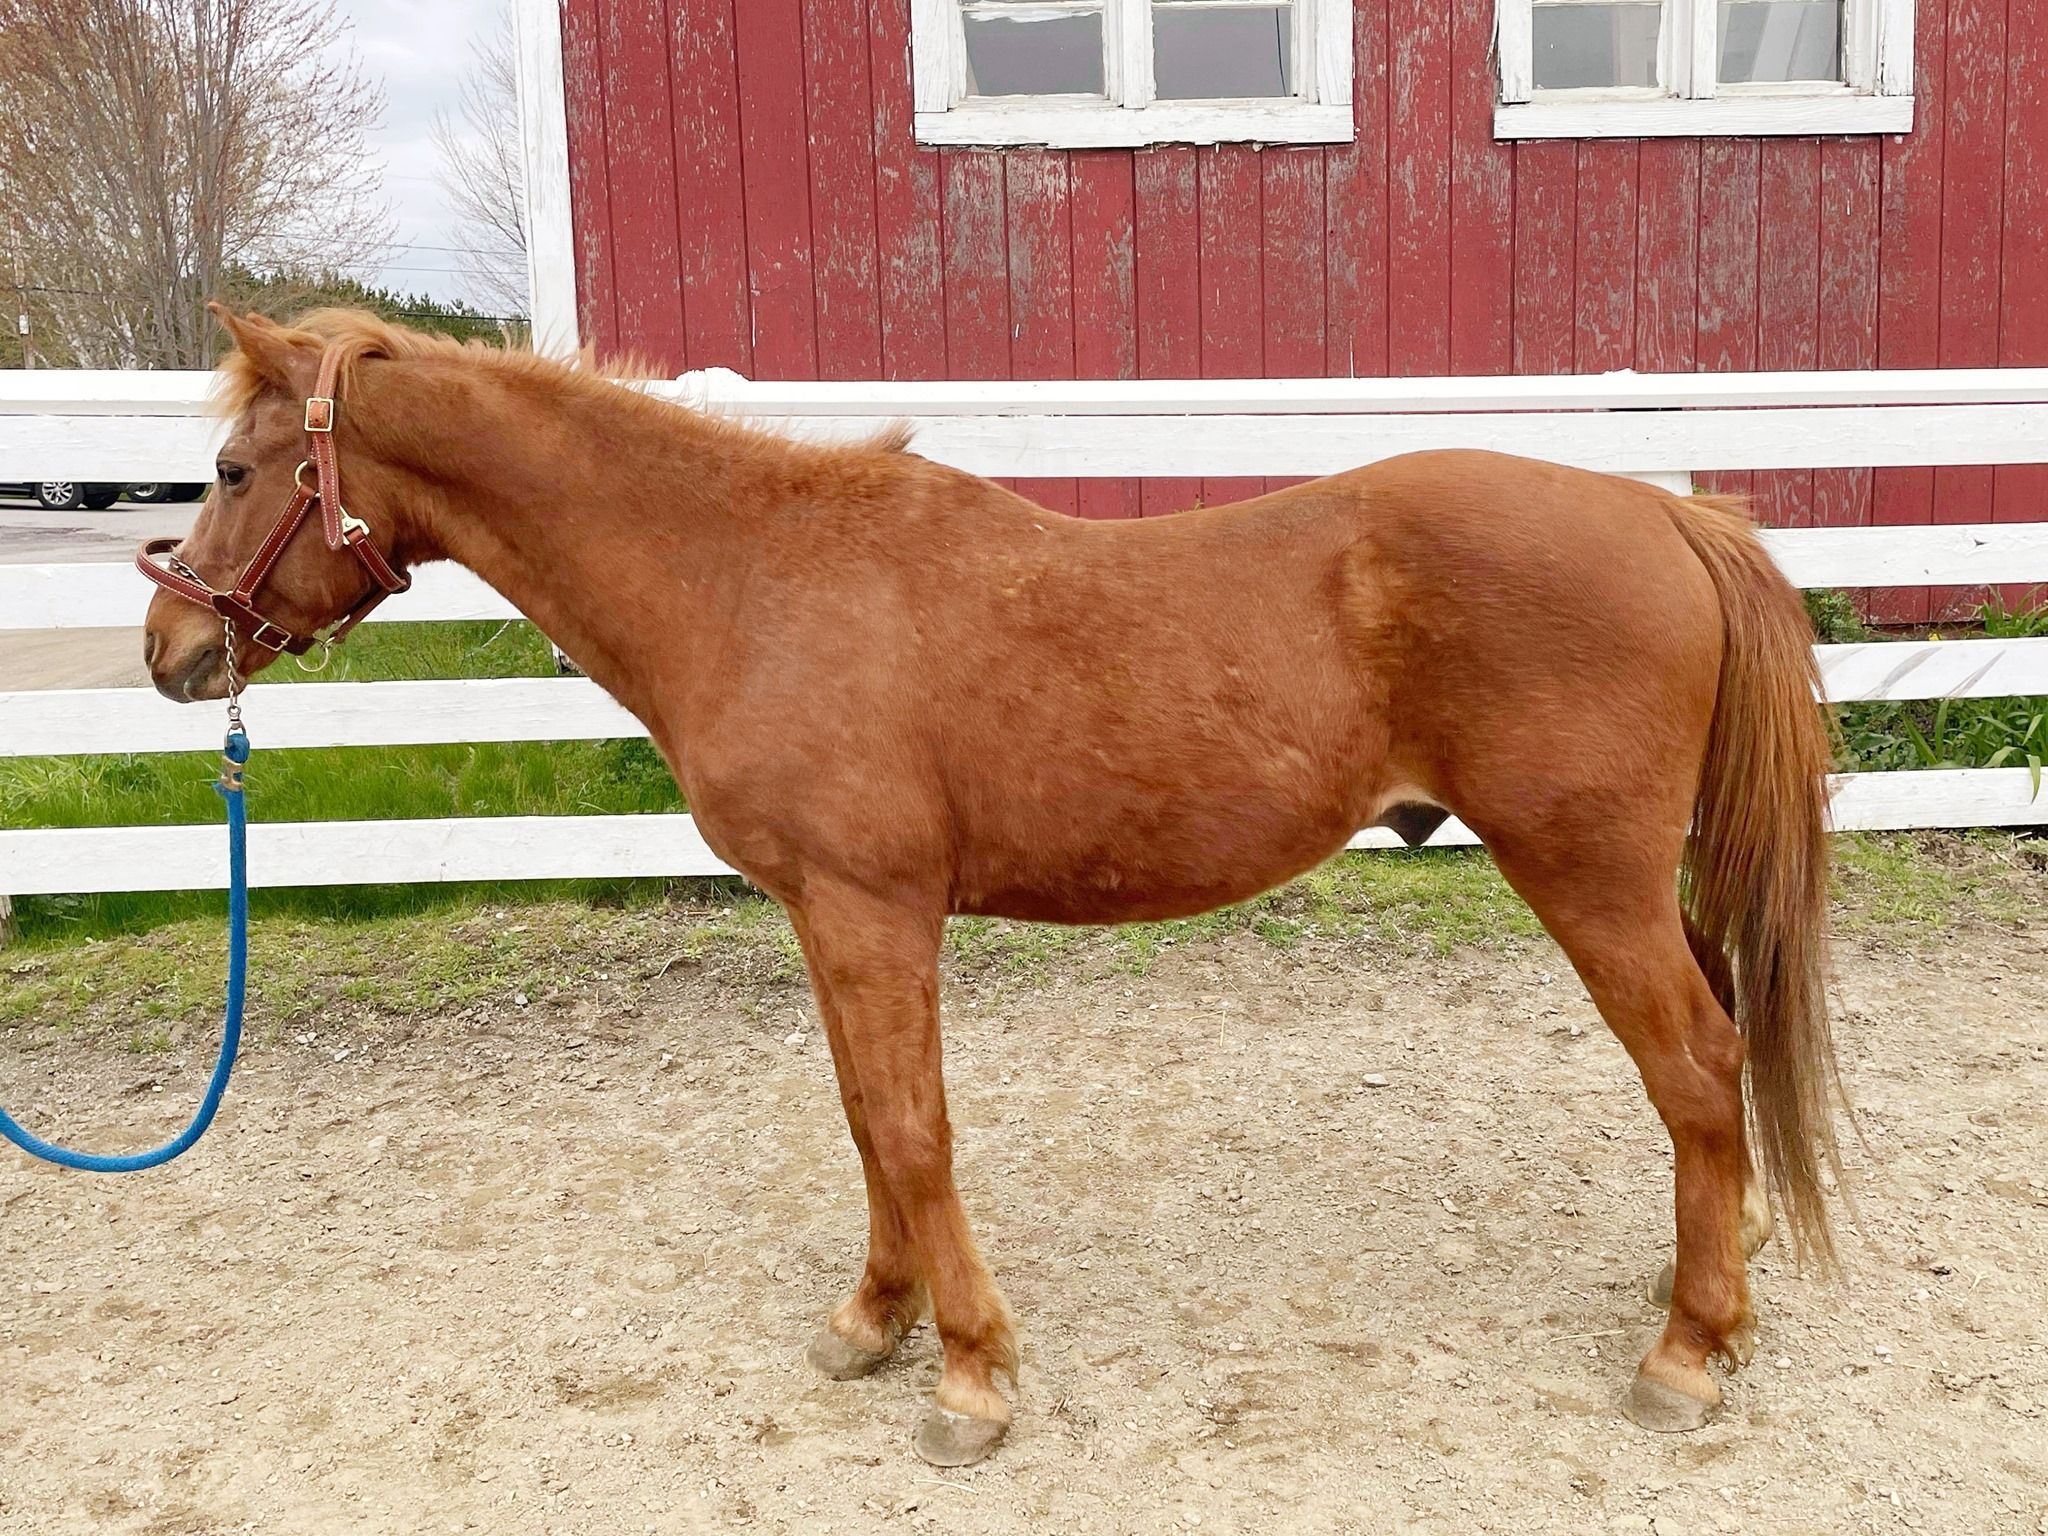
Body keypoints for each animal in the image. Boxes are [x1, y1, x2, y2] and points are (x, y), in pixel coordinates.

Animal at [141, 304, 1845, 1467]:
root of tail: (1668, 511)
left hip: (1587, 877)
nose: (170, 650)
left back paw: (1688, 1350)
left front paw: (967, 1375)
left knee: (1697, 1063)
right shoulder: (829, 920)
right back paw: (1726, 1265)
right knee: (1716, 1060)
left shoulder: (872, 909)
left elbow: (910, 1130)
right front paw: (871, 1323)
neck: (752, 577)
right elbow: (865, 1123)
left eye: (229, 467)